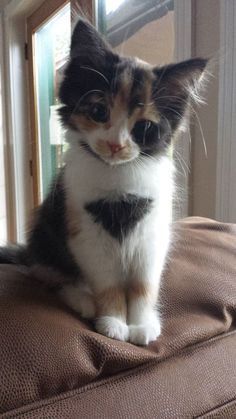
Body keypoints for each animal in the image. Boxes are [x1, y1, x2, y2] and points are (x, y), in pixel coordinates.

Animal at [0, 19, 206, 346]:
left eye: (143, 127)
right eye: (99, 112)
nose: (115, 145)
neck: (118, 176)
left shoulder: (151, 236)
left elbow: (143, 285)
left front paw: (142, 324)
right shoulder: (86, 233)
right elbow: (108, 285)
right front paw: (113, 323)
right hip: (47, 243)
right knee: (50, 276)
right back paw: (83, 301)